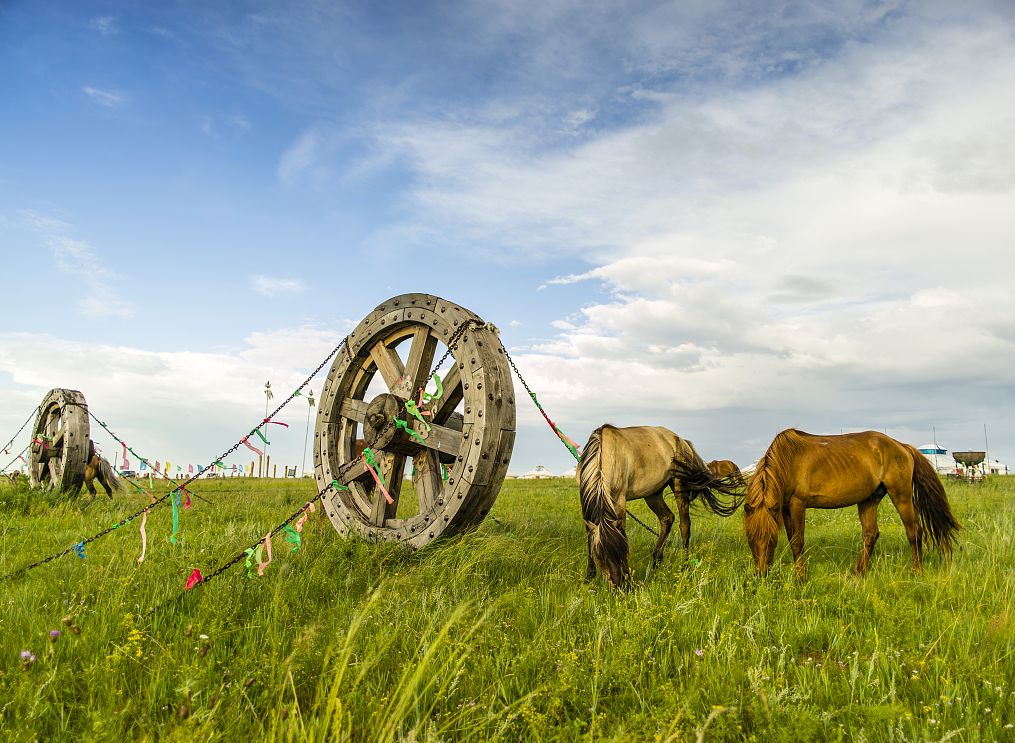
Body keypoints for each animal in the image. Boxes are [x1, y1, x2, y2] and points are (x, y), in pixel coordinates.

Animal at [580, 426, 747, 588]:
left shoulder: (619, 501)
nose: (619, 586)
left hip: (679, 486)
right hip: (653, 494)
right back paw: (656, 562)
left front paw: (627, 576)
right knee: (667, 518)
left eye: (622, 551)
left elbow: (622, 533)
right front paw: (589, 577)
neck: (605, 457)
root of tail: (682, 441)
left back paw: (684, 566)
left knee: (685, 525)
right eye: (600, 556)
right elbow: (590, 535)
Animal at [742, 426, 954, 576]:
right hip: (869, 500)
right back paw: (858, 573)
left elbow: (797, 541)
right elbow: (791, 540)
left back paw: (917, 572)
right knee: (870, 535)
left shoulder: (798, 504)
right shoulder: (785, 507)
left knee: (914, 531)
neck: (789, 459)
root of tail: (902, 447)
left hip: (901, 495)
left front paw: (801, 578)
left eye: (771, 538)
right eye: (750, 538)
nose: (761, 574)